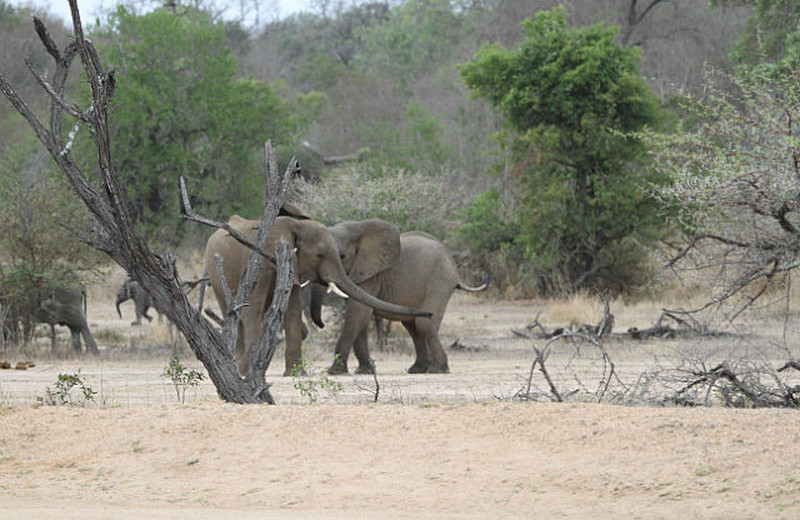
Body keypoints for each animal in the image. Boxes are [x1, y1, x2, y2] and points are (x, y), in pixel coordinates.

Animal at [203, 215, 434, 378]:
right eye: (320, 255)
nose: (429, 313)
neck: (294, 225)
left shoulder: (292, 266)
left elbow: (292, 311)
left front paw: (296, 374)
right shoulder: (260, 260)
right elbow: (253, 309)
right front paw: (244, 370)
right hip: (216, 273)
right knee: (233, 312)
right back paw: (237, 365)